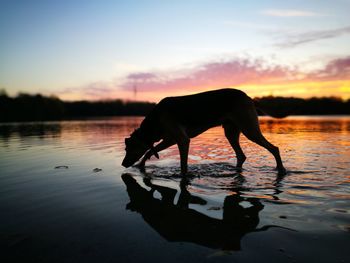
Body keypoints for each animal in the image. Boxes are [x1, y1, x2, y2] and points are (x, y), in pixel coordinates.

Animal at [121, 88, 286, 175]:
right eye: (126, 149)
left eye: (130, 148)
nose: (123, 164)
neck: (155, 120)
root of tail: (249, 97)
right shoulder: (171, 139)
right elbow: (150, 151)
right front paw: (141, 165)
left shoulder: (182, 140)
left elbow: (183, 164)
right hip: (231, 132)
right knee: (241, 155)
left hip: (249, 129)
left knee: (274, 148)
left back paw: (281, 169)